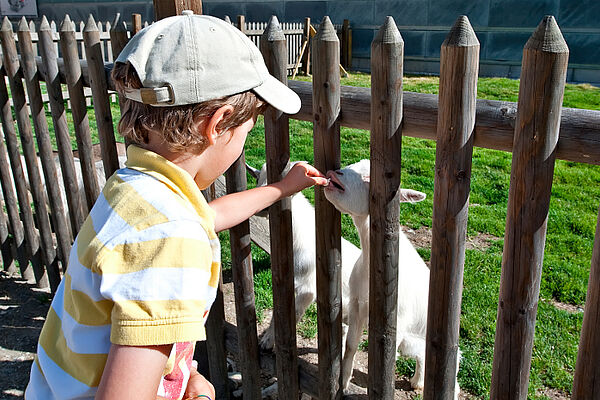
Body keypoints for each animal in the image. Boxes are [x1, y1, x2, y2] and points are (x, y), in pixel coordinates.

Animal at [252, 162, 364, 350]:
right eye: (258, 178)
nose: (261, 205)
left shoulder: (308, 288)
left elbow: (294, 314)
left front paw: (269, 342)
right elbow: (279, 310)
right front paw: (266, 340)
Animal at [324, 159, 460, 396]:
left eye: (369, 178)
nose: (334, 173)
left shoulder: (396, 318)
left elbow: (386, 356)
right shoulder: (358, 304)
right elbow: (350, 345)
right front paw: (344, 382)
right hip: (411, 340)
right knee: (422, 356)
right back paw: (418, 381)